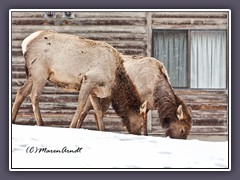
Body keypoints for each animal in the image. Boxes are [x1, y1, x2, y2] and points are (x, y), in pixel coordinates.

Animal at [11, 29, 144, 131]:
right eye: (142, 124)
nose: (138, 134)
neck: (114, 83)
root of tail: (24, 43)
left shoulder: (95, 90)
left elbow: (98, 110)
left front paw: (103, 129)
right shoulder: (89, 79)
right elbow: (81, 104)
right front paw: (72, 126)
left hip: (32, 75)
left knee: (21, 92)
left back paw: (13, 119)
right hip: (40, 71)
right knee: (34, 95)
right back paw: (41, 123)